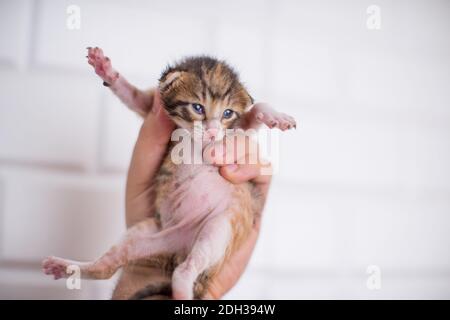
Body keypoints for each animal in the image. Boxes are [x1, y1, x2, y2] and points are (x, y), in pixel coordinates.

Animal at [41, 46, 296, 298]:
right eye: (197, 107)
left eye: (227, 113)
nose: (213, 133)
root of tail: (179, 250)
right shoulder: (152, 106)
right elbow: (133, 97)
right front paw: (107, 71)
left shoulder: (232, 133)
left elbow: (250, 120)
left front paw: (275, 116)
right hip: (146, 232)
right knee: (111, 266)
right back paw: (64, 266)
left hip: (218, 228)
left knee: (184, 269)